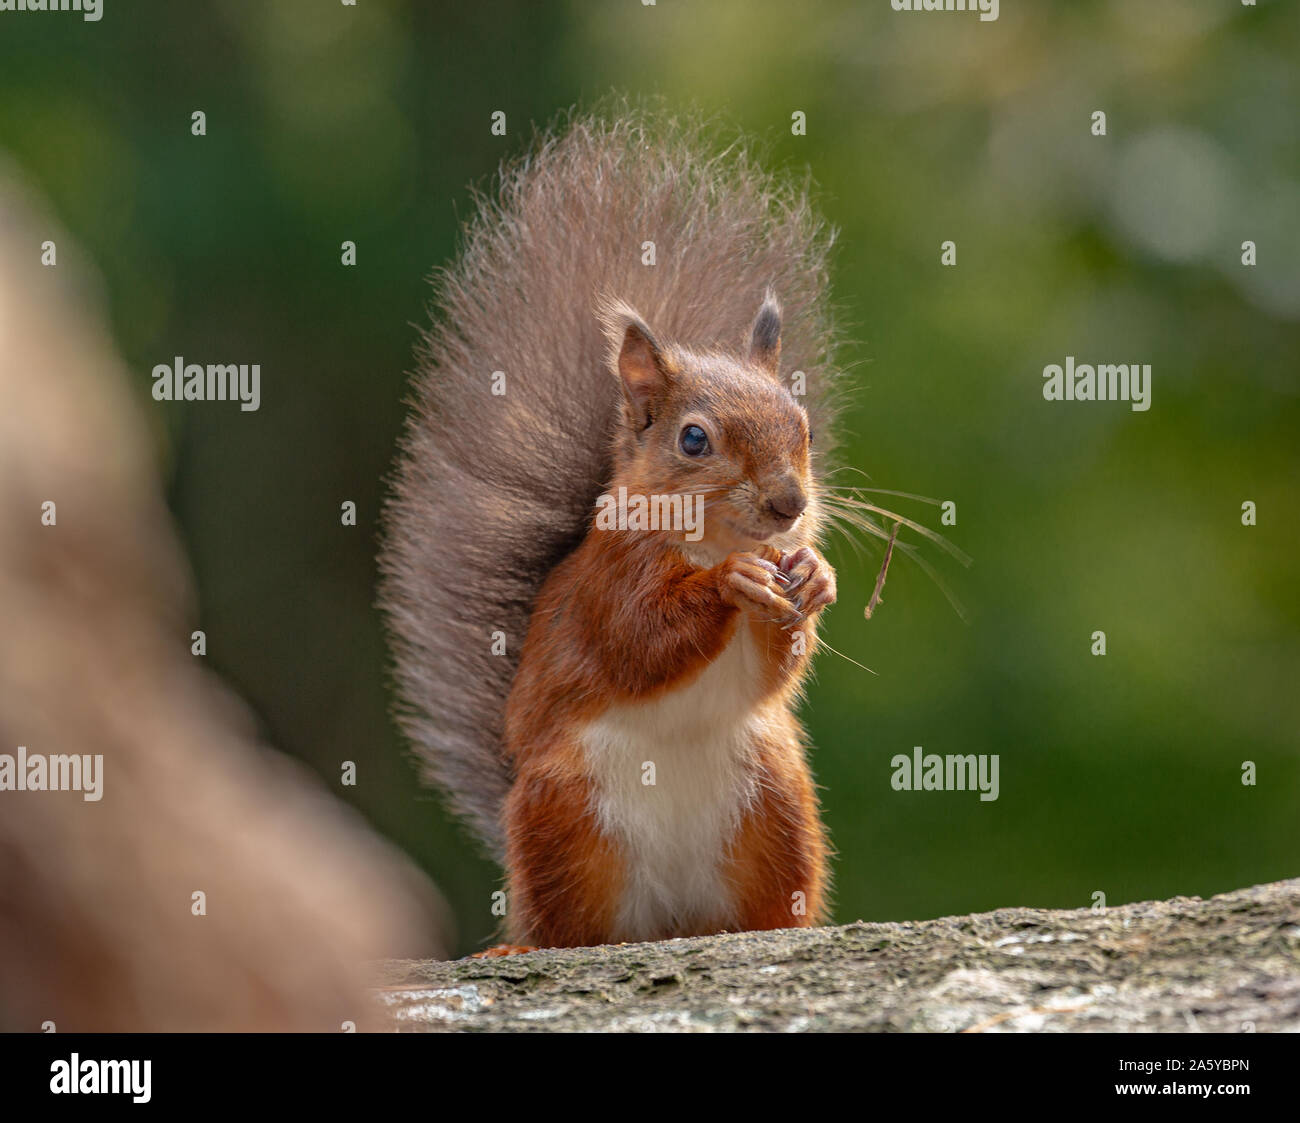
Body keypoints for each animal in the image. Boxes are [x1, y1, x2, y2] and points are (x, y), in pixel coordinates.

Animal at [380, 106, 844, 951]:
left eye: (806, 430)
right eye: (693, 440)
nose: (789, 506)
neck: (710, 538)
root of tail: (664, 923)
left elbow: (774, 671)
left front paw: (814, 576)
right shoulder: (611, 581)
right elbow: (639, 639)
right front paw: (729, 583)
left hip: (777, 802)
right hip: (565, 812)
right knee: (567, 926)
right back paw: (527, 941)